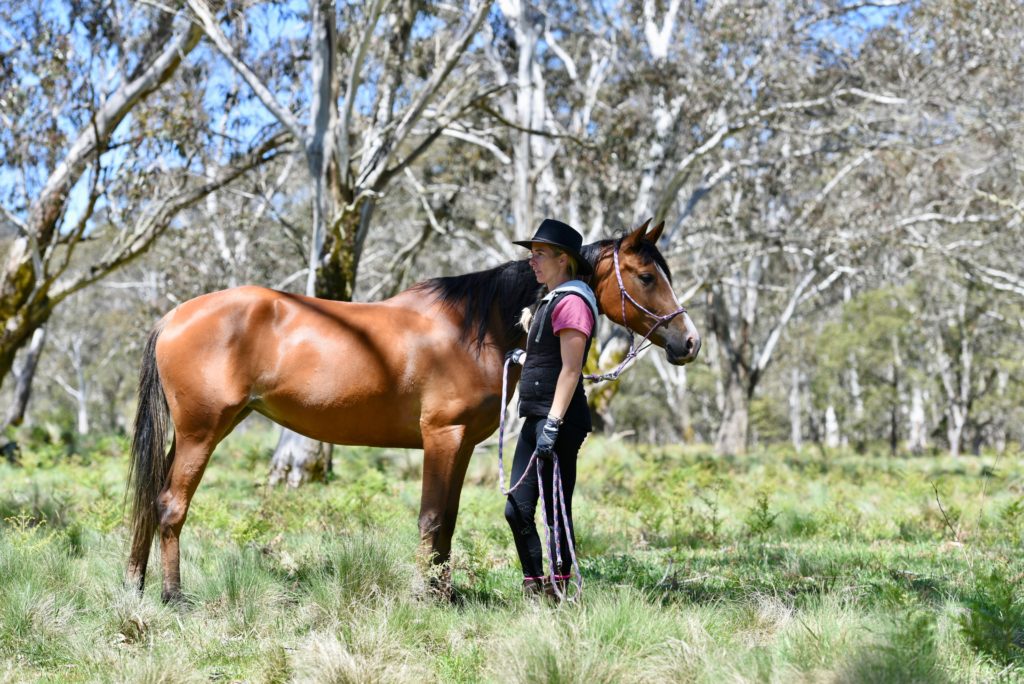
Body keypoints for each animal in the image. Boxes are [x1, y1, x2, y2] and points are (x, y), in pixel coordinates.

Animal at [125, 218, 696, 597]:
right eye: (647, 276)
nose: (688, 342)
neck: (474, 328)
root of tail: (174, 316)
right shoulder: (442, 435)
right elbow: (431, 517)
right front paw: (427, 595)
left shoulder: (460, 443)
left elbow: (448, 519)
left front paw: (444, 592)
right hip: (202, 433)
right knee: (171, 506)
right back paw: (174, 597)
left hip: (192, 434)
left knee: (151, 501)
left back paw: (136, 586)